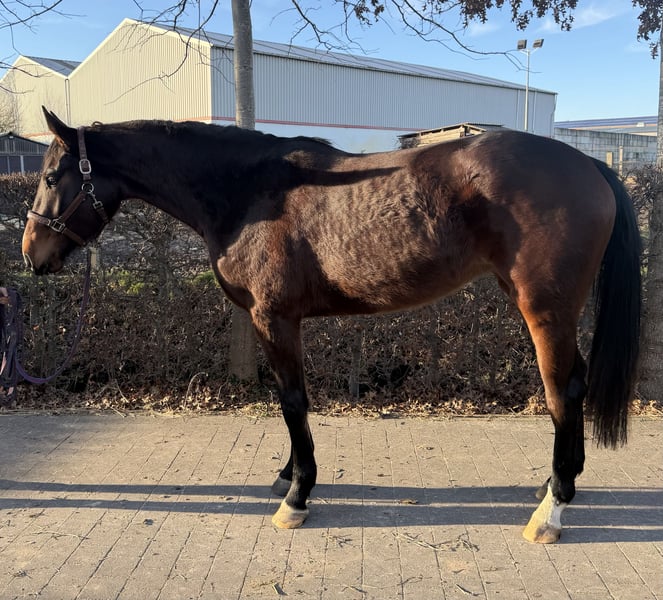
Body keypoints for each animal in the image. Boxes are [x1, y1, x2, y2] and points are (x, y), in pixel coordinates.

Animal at [22, 107, 641, 544]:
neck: (249, 192)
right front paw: (286, 474)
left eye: (52, 175)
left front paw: (296, 498)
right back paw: (556, 485)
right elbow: (286, 400)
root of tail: (590, 164)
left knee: (563, 390)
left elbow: (293, 402)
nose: (31, 254)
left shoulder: (275, 318)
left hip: (544, 309)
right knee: (574, 384)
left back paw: (551, 512)